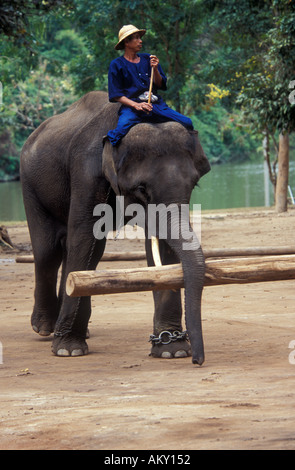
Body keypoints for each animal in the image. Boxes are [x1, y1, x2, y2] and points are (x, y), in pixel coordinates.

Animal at [20, 90, 210, 366]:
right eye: (141, 188)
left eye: (194, 184)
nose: (197, 360)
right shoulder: (86, 172)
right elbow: (84, 237)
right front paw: (69, 350)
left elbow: (161, 247)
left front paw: (171, 351)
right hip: (30, 183)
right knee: (49, 251)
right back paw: (45, 328)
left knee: (77, 250)